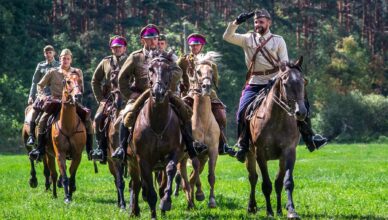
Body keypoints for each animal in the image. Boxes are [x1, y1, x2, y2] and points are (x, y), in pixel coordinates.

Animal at [49, 73, 87, 204]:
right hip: (48, 155)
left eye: (80, 81)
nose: (78, 96)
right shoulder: (60, 153)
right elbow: (65, 175)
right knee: (53, 174)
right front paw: (66, 197)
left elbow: (72, 174)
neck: (68, 126)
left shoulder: (77, 154)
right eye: (68, 81)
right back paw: (54, 194)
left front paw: (70, 193)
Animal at [128, 51, 193, 218]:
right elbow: (150, 192)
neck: (157, 124)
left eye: (168, 69)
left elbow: (170, 171)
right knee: (136, 185)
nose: (158, 93)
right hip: (132, 163)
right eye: (150, 69)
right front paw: (153, 214)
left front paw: (165, 203)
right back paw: (134, 211)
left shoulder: (174, 153)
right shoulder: (142, 160)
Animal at [247, 56, 308, 218]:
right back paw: (251, 206)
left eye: (303, 82)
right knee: (253, 178)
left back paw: (280, 210)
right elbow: (266, 184)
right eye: (285, 84)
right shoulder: (260, 153)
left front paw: (291, 210)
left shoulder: (289, 152)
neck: (276, 118)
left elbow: (286, 182)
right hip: (250, 154)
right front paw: (269, 211)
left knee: (278, 182)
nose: (301, 112)